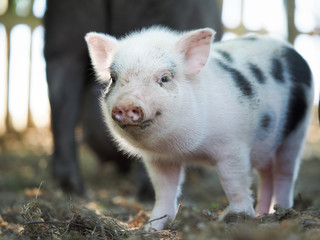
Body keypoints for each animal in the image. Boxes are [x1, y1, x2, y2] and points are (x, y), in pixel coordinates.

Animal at [43, 0, 222, 195]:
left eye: (165, 78)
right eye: (113, 78)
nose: (128, 103)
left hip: (62, 33)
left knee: (62, 100)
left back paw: (74, 188)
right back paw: (148, 192)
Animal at [85, 26, 312, 231]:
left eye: (165, 78)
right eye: (113, 78)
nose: (126, 104)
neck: (189, 149)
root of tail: (292, 50)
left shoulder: (233, 147)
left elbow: (234, 183)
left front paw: (236, 217)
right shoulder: (160, 159)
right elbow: (164, 190)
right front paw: (151, 229)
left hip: (296, 132)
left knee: (285, 173)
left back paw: (281, 211)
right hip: (266, 143)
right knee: (266, 175)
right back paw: (263, 214)